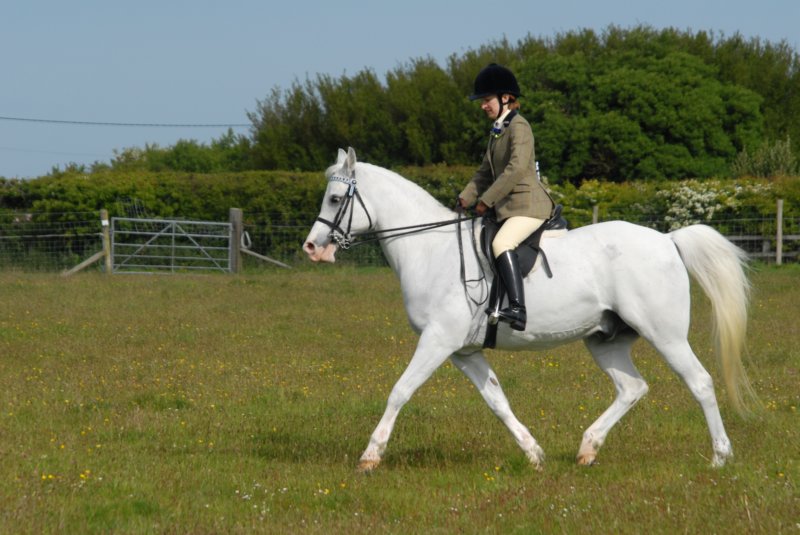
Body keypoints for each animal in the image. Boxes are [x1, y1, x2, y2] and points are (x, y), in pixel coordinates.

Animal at [304, 148, 752, 474]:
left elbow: (400, 390)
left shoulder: (437, 340)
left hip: (666, 335)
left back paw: (720, 456)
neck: (432, 249)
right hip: (605, 340)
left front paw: (370, 456)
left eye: (336, 198)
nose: (312, 247)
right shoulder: (464, 351)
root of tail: (667, 240)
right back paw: (587, 449)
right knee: (632, 388)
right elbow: (497, 401)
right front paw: (534, 454)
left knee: (700, 382)